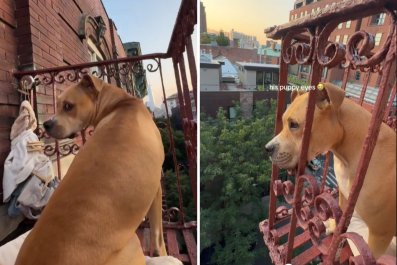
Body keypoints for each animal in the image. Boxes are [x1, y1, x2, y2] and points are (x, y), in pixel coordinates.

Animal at [15, 75, 166, 264]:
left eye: (68, 106)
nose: (47, 124)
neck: (121, 104)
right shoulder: (157, 188)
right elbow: (158, 234)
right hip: (132, 243)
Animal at [264, 83, 394, 258]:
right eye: (284, 122)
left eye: (294, 124)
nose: (267, 148)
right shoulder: (344, 196)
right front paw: (333, 227)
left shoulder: (379, 235)